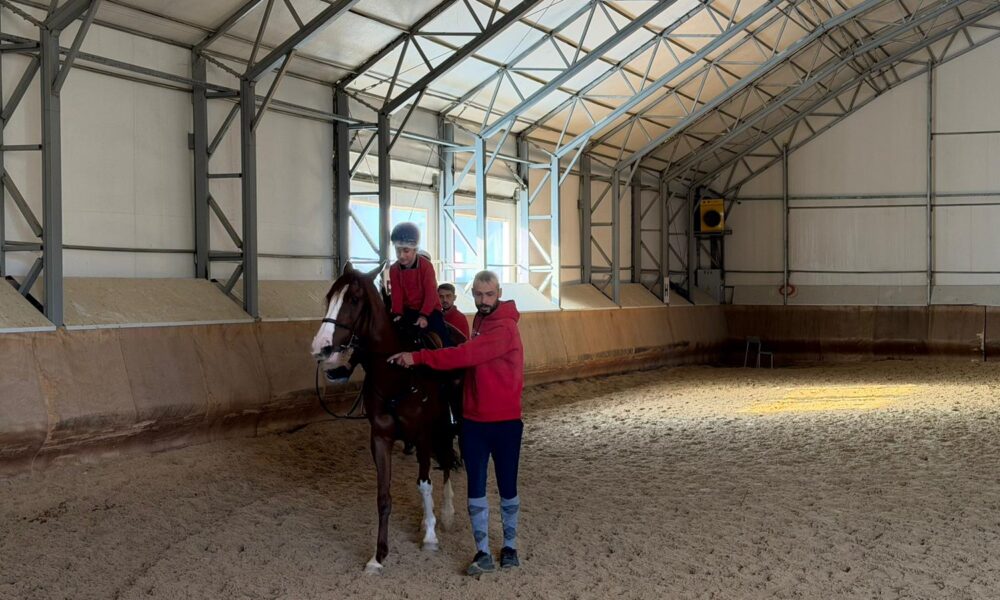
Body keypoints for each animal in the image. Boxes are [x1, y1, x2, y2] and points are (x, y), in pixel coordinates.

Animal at [310, 262, 459, 574]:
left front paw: (430, 537)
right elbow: (383, 496)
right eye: (329, 297)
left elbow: (424, 484)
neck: (396, 373)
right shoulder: (380, 437)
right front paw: (378, 556)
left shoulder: (422, 434)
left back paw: (446, 513)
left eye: (354, 299)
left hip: (445, 424)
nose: (321, 347)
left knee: (447, 461)